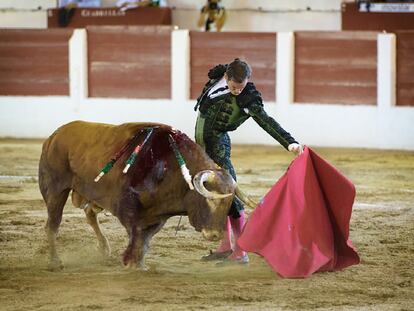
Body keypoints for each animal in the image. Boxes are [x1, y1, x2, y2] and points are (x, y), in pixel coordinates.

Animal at [38, 120, 244, 272]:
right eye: (209, 200)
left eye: (228, 204)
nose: (215, 234)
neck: (168, 167)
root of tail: (54, 136)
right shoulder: (129, 210)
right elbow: (136, 237)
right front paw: (131, 263)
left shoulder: (157, 217)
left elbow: (144, 242)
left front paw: (139, 265)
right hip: (55, 190)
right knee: (52, 225)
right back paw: (55, 262)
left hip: (93, 195)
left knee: (89, 213)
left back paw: (104, 248)